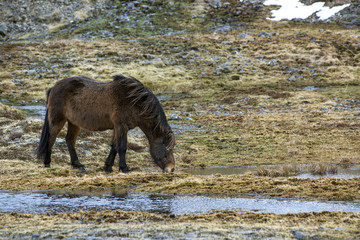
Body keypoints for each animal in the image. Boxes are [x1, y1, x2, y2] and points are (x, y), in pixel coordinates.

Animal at [36, 74, 176, 172]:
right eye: (166, 150)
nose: (171, 169)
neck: (133, 102)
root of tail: (53, 87)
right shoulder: (121, 126)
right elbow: (122, 147)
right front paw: (125, 168)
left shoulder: (118, 127)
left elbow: (114, 146)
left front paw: (108, 167)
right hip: (57, 120)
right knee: (51, 139)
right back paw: (47, 163)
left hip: (74, 122)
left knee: (70, 140)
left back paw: (78, 165)